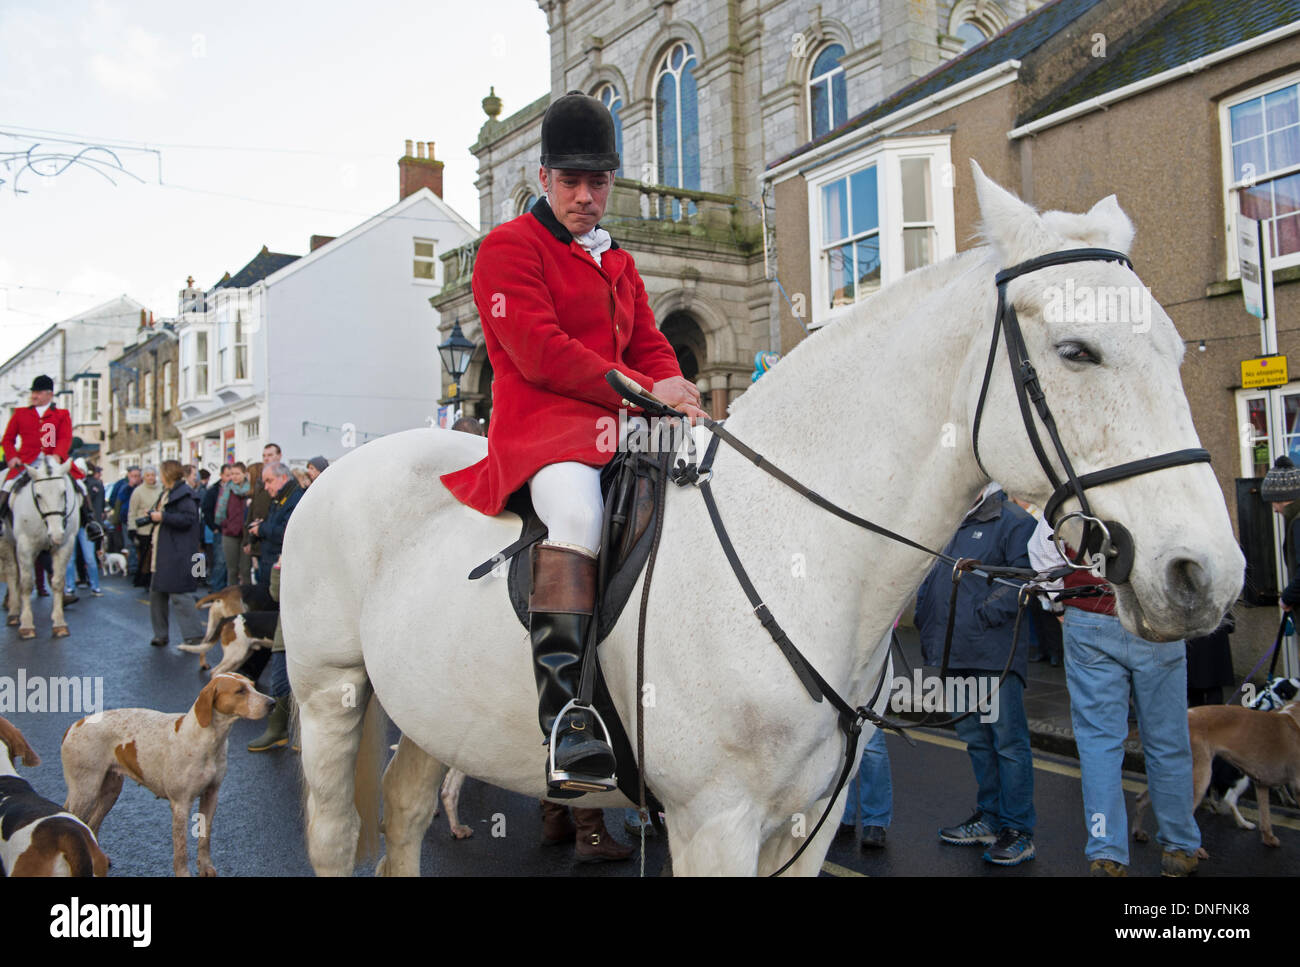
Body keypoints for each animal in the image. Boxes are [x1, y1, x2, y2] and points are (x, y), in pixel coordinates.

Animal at [5, 457, 82, 639]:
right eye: (38, 495)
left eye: (63, 492)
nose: (56, 534)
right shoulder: (25, 546)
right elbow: (26, 584)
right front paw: (26, 624)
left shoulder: (65, 545)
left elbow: (58, 582)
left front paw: (59, 623)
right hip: (7, 541)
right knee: (12, 573)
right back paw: (13, 612)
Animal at [279, 164, 1242, 878]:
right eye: (1078, 351)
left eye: (1170, 345)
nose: (1208, 574)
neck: (798, 549)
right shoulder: (716, 821)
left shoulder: (806, 821)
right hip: (331, 690)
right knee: (335, 834)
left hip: (432, 708)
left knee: (405, 814)